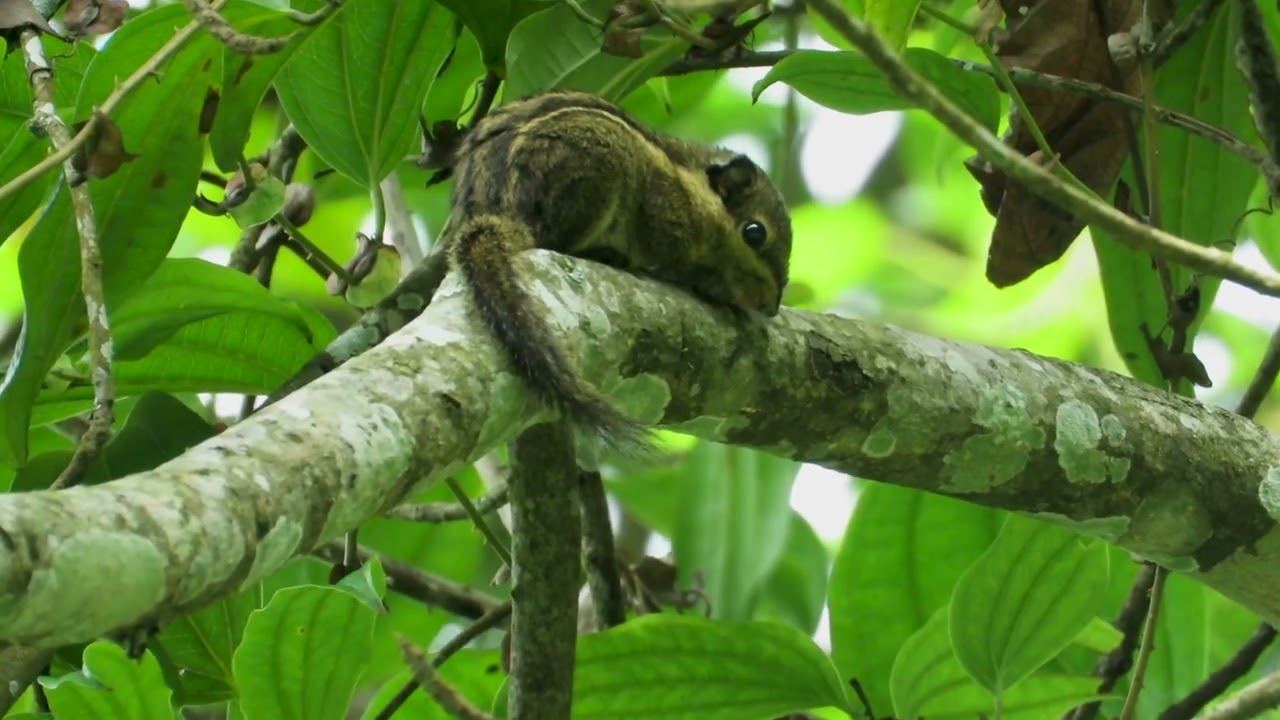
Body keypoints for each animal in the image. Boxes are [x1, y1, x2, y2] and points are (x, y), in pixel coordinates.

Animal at [446, 89, 792, 449]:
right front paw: (710, 285)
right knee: (555, 241)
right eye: (755, 232)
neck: (689, 188)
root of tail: (502, 216)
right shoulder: (661, 220)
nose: (771, 306)